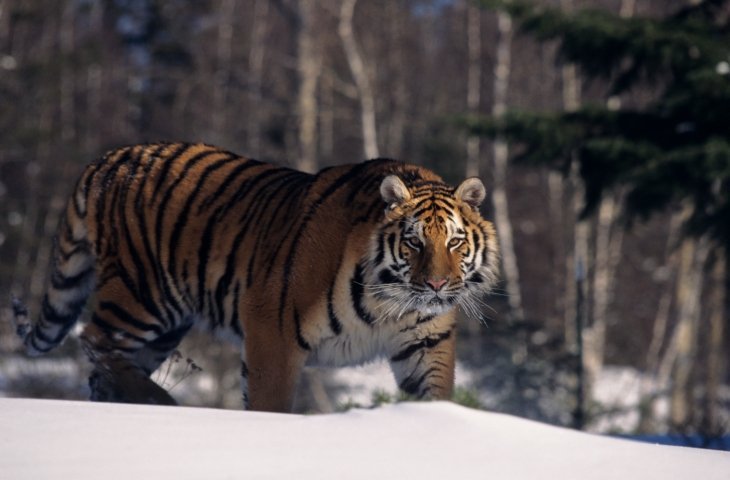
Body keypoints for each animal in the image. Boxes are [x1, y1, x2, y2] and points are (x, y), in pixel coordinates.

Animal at [11, 142, 499, 412]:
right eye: (413, 242)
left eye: (455, 243)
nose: (436, 286)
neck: (391, 305)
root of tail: (108, 158)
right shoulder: (273, 329)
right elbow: (271, 403)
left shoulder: (426, 343)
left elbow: (435, 395)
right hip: (141, 293)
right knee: (94, 339)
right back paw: (160, 401)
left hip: (163, 322)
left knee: (107, 363)